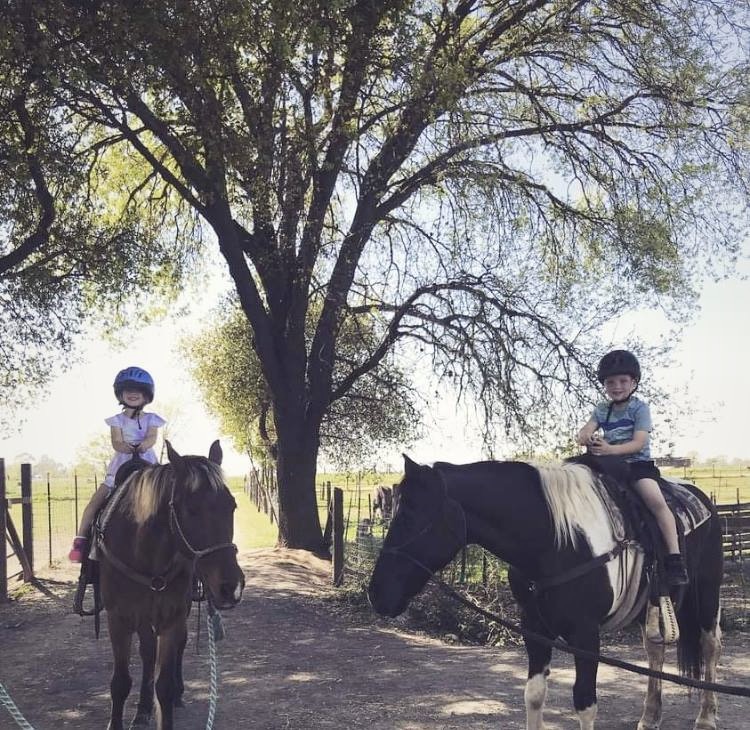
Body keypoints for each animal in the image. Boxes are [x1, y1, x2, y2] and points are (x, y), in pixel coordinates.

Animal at [97, 438, 247, 728]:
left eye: (232, 505)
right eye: (190, 509)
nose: (230, 587)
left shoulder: (172, 616)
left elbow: (164, 686)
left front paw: (171, 695)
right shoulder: (118, 617)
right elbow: (120, 682)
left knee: (176, 646)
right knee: (147, 652)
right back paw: (142, 709)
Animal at [368, 456, 724, 728]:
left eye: (409, 517)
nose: (376, 594)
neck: (556, 540)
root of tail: (703, 499)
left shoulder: (585, 635)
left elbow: (584, 702)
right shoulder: (534, 628)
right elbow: (534, 695)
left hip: (707, 594)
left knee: (710, 646)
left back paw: (706, 717)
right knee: (655, 649)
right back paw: (649, 718)